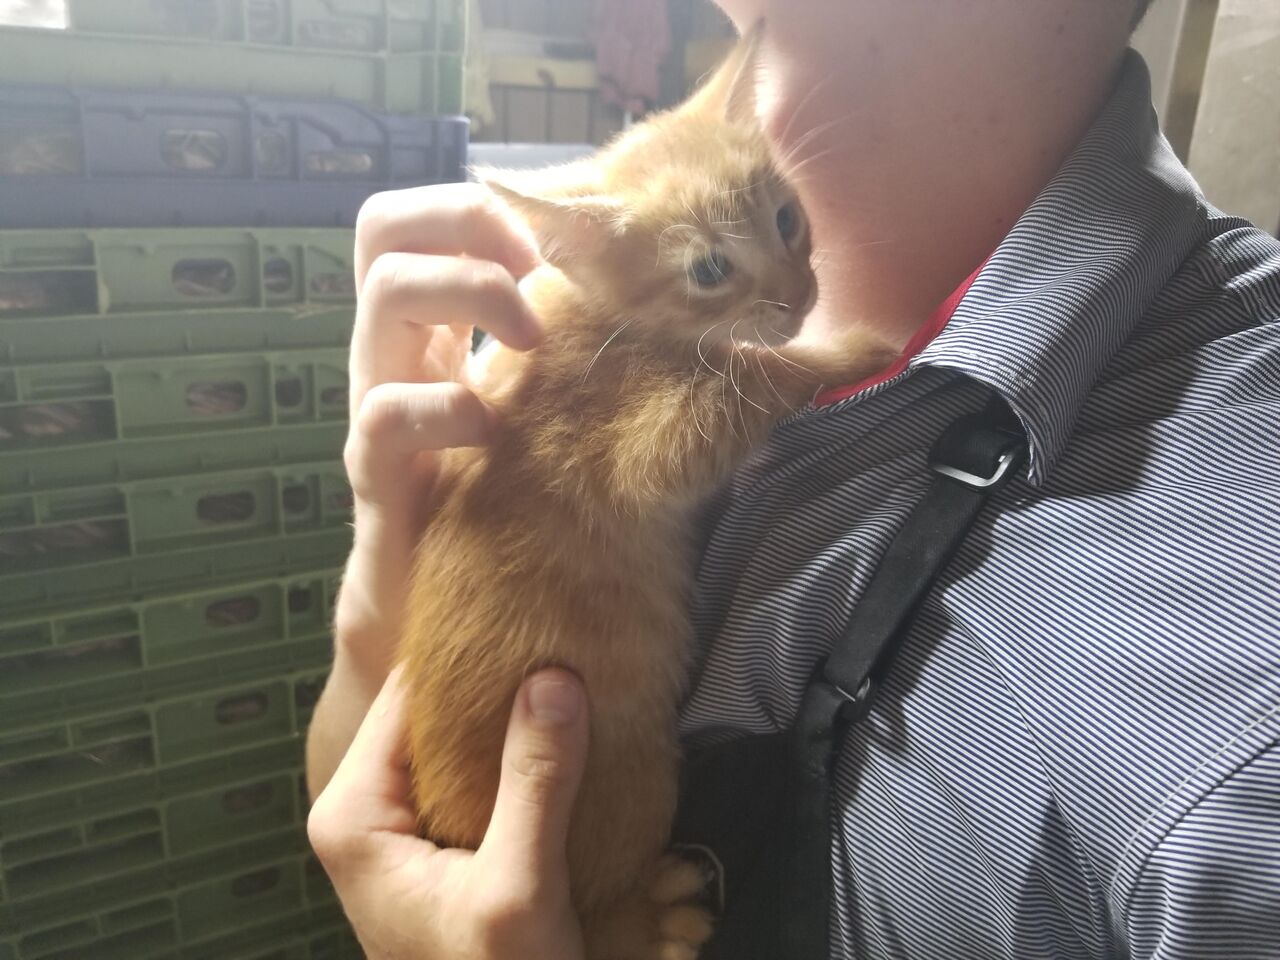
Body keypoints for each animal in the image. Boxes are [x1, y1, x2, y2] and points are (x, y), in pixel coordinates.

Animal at [398, 27, 894, 960]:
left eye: (787, 219)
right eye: (709, 268)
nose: (802, 293)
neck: (606, 318)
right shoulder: (639, 446)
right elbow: (756, 377)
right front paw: (854, 347)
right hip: (634, 779)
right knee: (602, 919)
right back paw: (660, 912)